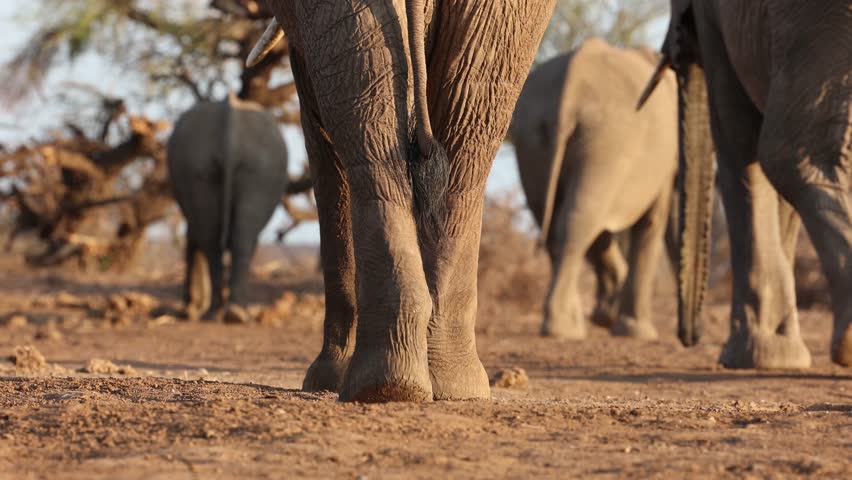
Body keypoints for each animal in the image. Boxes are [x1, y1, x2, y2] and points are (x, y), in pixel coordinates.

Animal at [167, 93, 289, 324]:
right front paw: (190, 310)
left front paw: (189, 310)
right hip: (228, 165)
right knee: (228, 236)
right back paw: (228, 313)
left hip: (235, 166)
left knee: (217, 236)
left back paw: (225, 313)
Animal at [509, 38, 678, 341]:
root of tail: (570, 90)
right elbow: (651, 223)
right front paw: (638, 333)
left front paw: (607, 317)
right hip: (608, 136)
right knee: (580, 217)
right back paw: (563, 329)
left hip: (532, 136)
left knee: (552, 219)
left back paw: (571, 326)